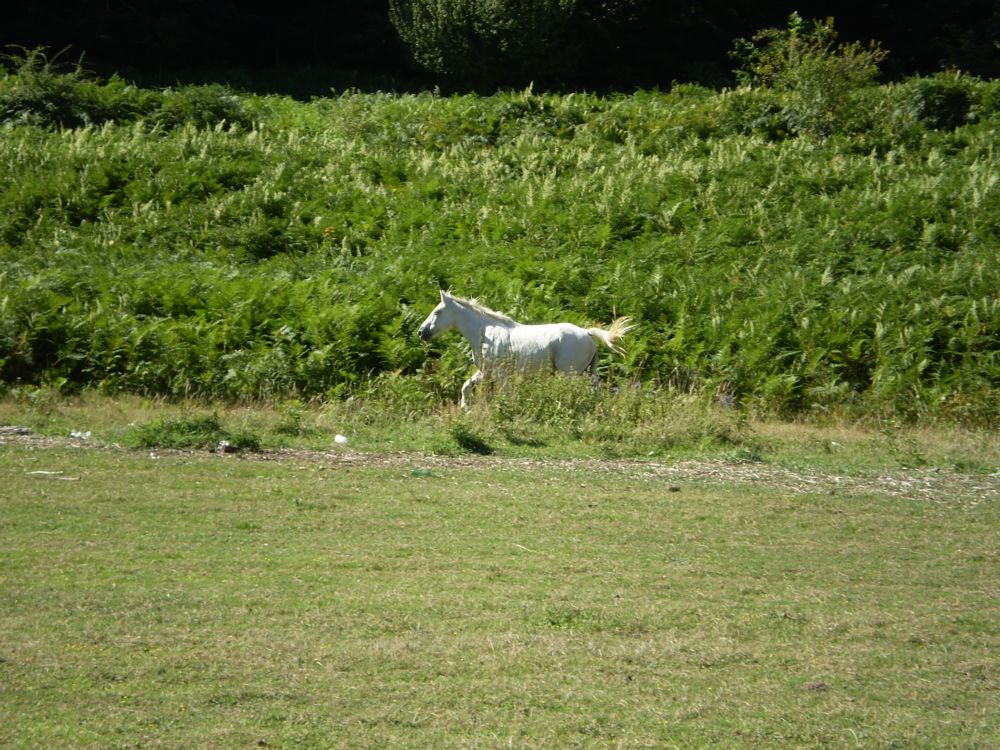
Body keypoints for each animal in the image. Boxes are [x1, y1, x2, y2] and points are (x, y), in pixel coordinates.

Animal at [416, 290, 632, 408]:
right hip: (587, 372)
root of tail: (587, 333)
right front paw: (464, 407)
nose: (420, 332)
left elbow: (504, 394)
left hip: (570, 374)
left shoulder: (501, 374)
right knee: (597, 391)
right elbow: (466, 385)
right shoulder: (486, 372)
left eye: (437, 311)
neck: (485, 334)